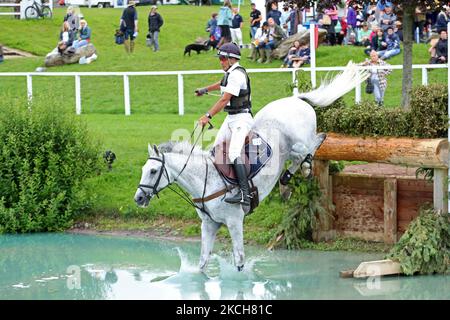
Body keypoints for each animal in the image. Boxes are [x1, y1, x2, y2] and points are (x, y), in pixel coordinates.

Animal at [135, 63, 368, 272]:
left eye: (153, 171)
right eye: (144, 170)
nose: (138, 198)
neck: (205, 181)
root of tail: (296, 99)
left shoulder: (234, 221)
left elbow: (239, 261)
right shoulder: (209, 225)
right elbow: (203, 263)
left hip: (299, 140)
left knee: (315, 143)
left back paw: (305, 168)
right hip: (289, 146)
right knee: (306, 150)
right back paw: (286, 183)